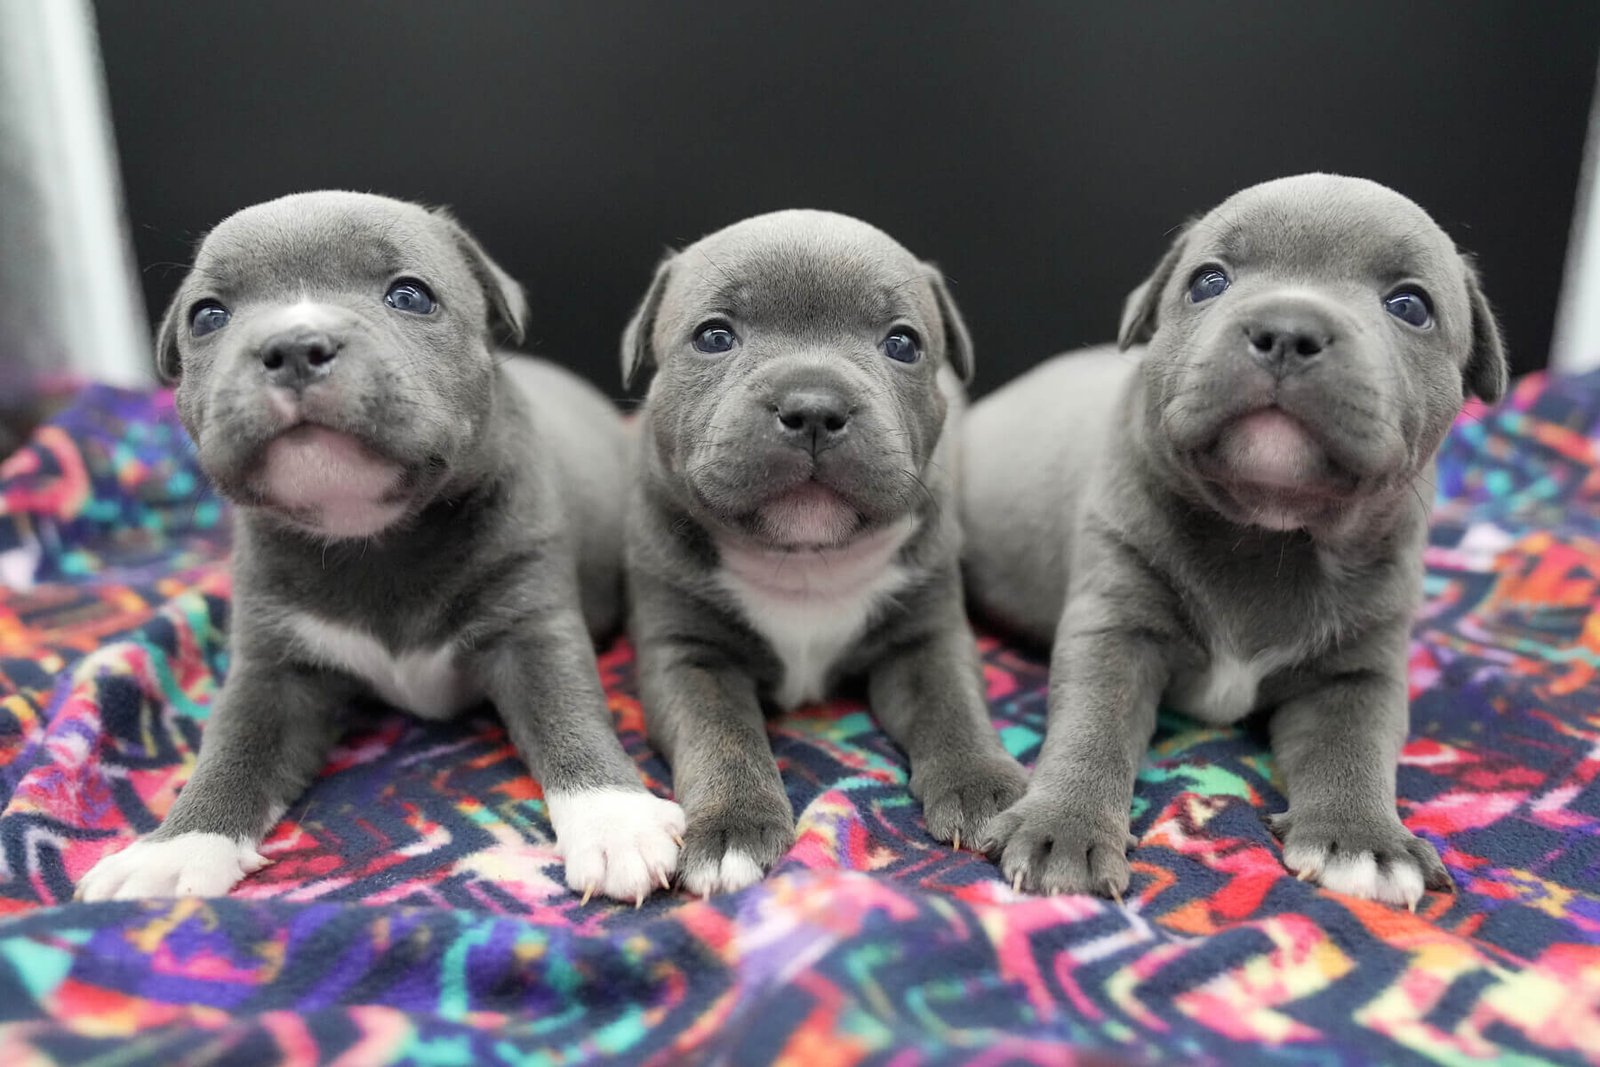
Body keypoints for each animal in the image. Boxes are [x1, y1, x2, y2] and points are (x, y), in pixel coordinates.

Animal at [78, 189, 678, 902]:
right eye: (208, 315)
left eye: (410, 296)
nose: (292, 345)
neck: (372, 539)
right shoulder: (275, 667)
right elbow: (234, 747)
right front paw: (177, 848)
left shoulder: (532, 626)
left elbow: (569, 711)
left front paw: (615, 822)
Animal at [617, 207, 1030, 895]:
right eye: (714, 336)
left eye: (902, 344)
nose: (813, 406)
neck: (805, 558)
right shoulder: (686, 657)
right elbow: (719, 734)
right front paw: (731, 827)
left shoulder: (927, 637)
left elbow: (954, 704)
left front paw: (984, 785)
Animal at [960, 175, 1510, 908]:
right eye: (1208, 281)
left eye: (1410, 306)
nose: (1288, 330)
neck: (1267, 531)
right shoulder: (1114, 627)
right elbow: (1093, 723)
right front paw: (1064, 829)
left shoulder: (1359, 671)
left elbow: (1355, 747)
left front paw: (1363, 840)